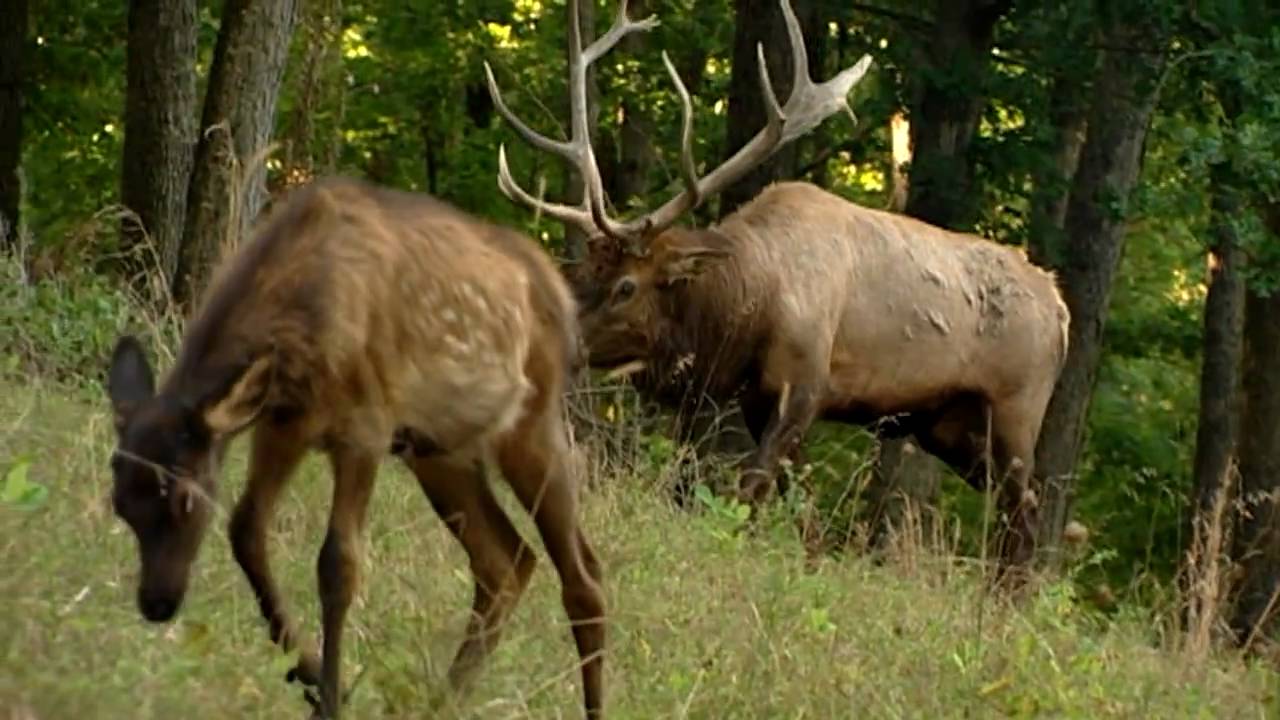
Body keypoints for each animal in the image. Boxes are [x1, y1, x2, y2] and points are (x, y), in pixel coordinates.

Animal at [104, 177, 607, 719]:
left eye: (185, 498)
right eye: (120, 504)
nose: (157, 603)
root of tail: (560, 290)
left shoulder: (366, 424)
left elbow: (338, 563)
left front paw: (331, 694)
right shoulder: (283, 424)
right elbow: (246, 530)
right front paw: (311, 675)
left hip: (532, 422)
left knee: (583, 576)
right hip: (439, 450)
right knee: (506, 561)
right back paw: (440, 699)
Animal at [484, 0, 1070, 577]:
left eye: (627, 286)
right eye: (580, 274)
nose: (550, 341)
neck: (752, 306)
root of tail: (1061, 307)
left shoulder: (806, 385)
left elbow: (749, 494)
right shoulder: (757, 397)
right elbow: (801, 513)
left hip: (1016, 408)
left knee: (1024, 513)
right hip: (949, 425)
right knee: (1020, 508)